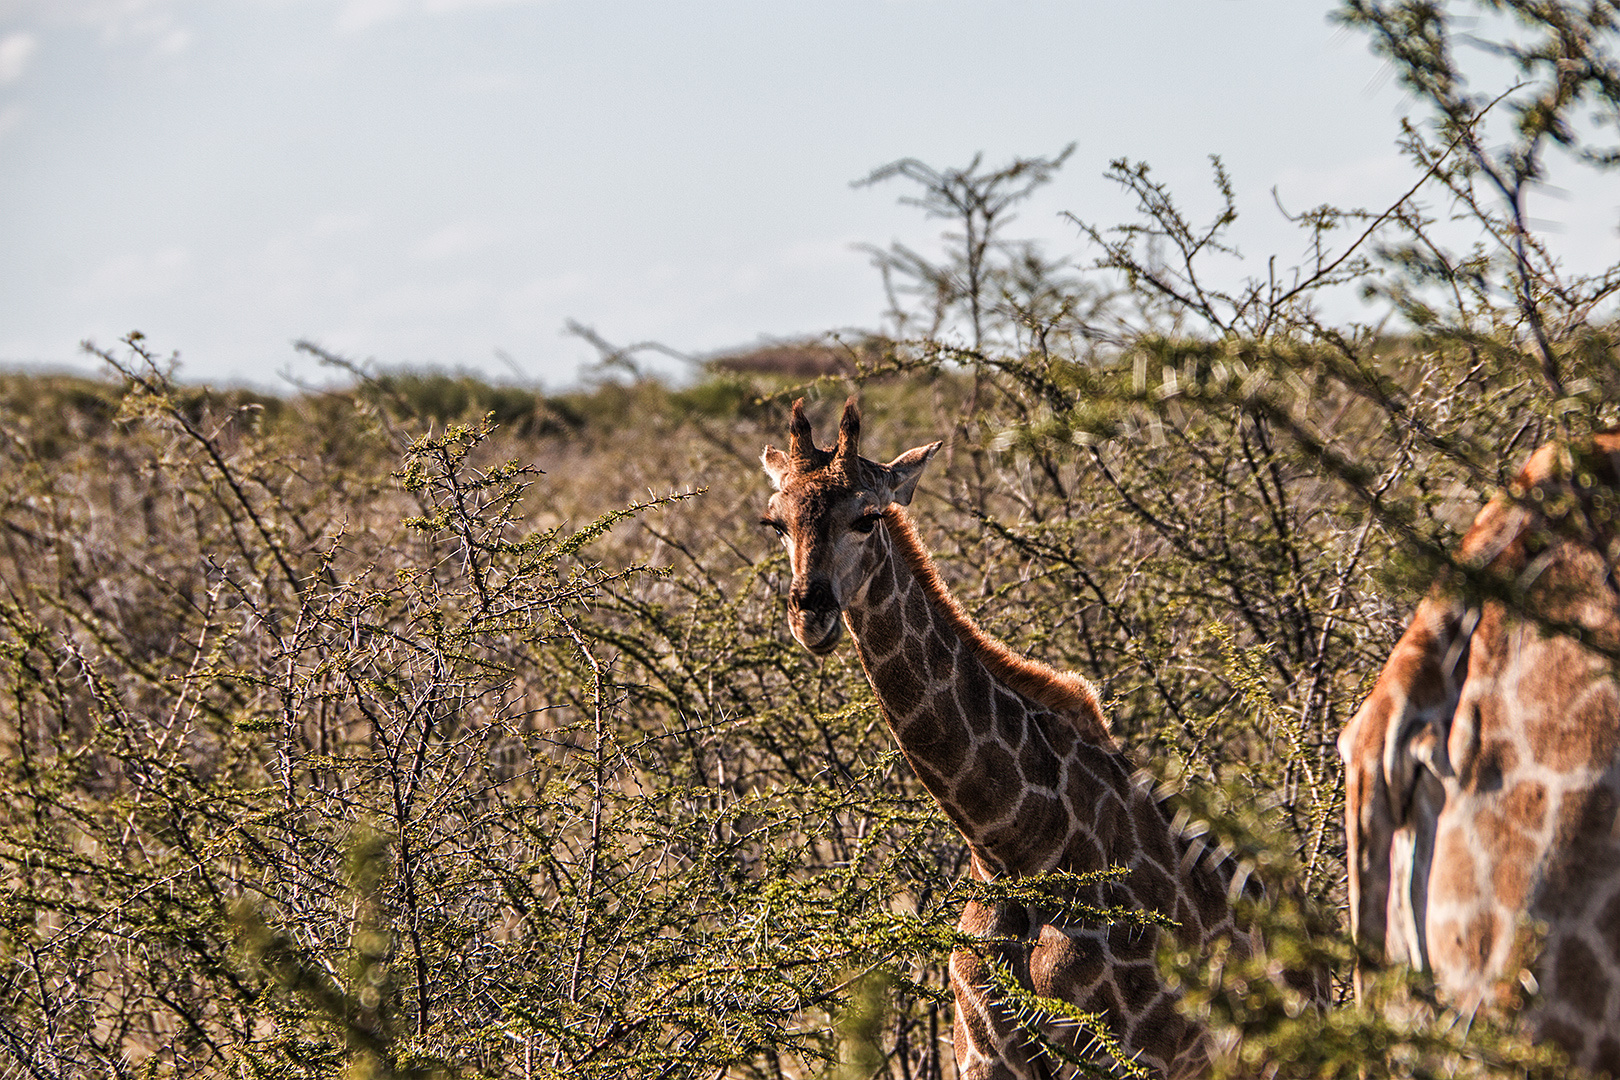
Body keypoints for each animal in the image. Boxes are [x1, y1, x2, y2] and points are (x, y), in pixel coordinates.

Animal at [764, 399, 1257, 1080]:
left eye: (867, 517)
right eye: (775, 523)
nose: (810, 613)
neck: (1014, 845)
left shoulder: (1115, 1057)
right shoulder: (982, 1054)